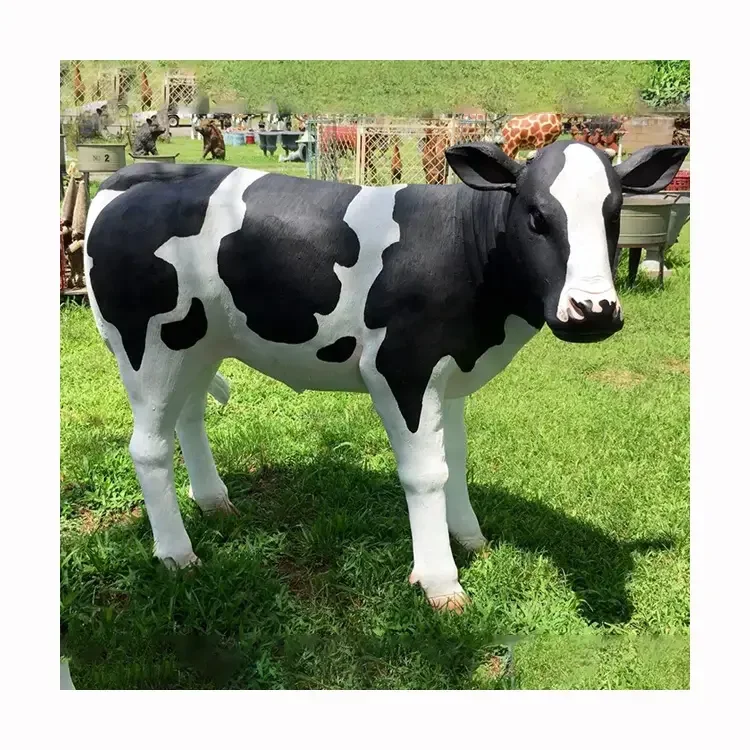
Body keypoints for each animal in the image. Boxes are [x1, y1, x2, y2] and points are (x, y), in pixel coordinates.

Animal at [83, 141, 689, 612]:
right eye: (538, 216)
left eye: (614, 215)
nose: (594, 311)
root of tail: (129, 177)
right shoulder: (402, 365)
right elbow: (425, 473)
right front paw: (441, 581)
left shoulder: (450, 370)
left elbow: (455, 460)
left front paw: (470, 538)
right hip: (145, 344)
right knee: (148, 447)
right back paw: (177, 553)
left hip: (197, 342)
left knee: (187, 415)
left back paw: (213, 502)